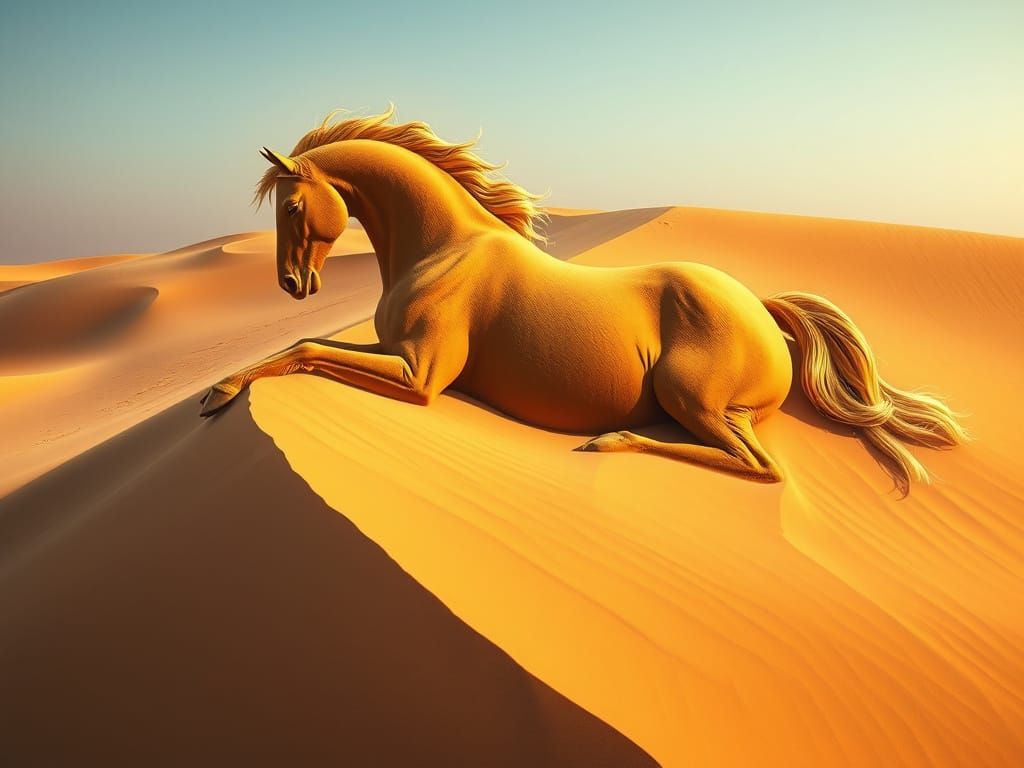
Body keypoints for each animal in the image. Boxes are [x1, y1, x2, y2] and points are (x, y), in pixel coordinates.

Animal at [200, 106, 967, 493]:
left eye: (292, 206)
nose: (292, 285)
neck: (443, 246)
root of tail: (762, 308)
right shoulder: (392, 351)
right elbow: (300, 345)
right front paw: (221, 389)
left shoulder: (421, 378)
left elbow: (305, 346)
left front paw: (216, 394)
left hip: (695, 396)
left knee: (761, 468)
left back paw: (611, 440)